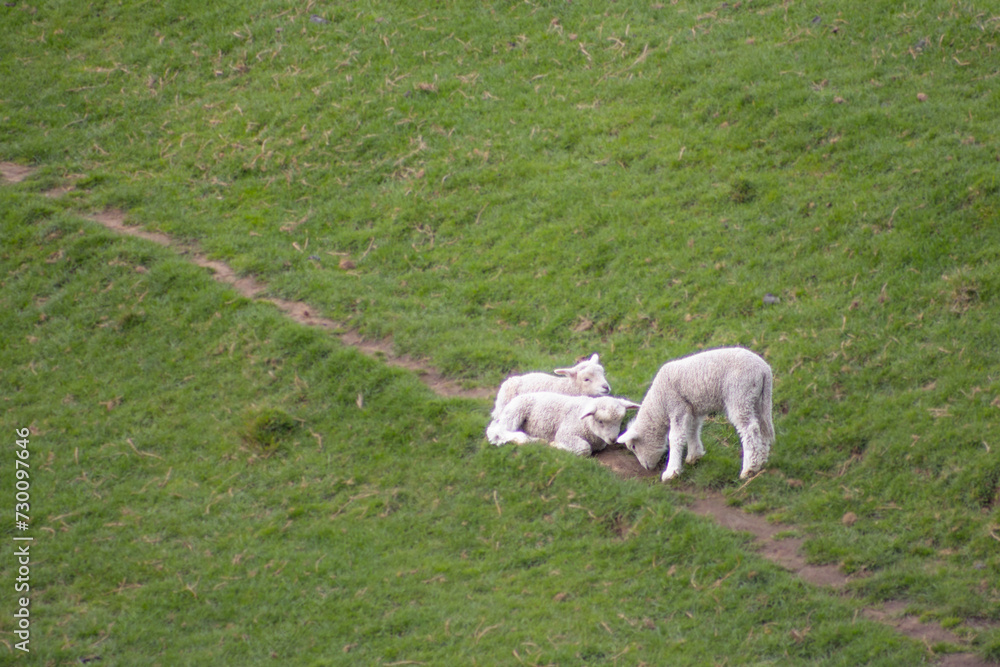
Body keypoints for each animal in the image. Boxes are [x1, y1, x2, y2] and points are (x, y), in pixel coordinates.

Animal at [487, 392, 641, 456]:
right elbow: (584, 448)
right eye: (600, 421)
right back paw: (523, 439)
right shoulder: (566, 433)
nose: (613, 439)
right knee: (497, 431)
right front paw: (556, 446)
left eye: (619, 421)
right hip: (516, 411)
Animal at [616, 347, 774, 481]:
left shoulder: (677, 407)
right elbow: (692, 430)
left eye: (633, 447)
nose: (646, 467)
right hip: (758, 400)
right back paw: (761, 460)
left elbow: (675, 437)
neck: (659, 403)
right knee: (763, 427)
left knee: (750, 430)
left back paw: (749, 468)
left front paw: (671, 471)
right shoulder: (693, 410)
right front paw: (694, 456)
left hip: (739, 394)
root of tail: (763, 370)